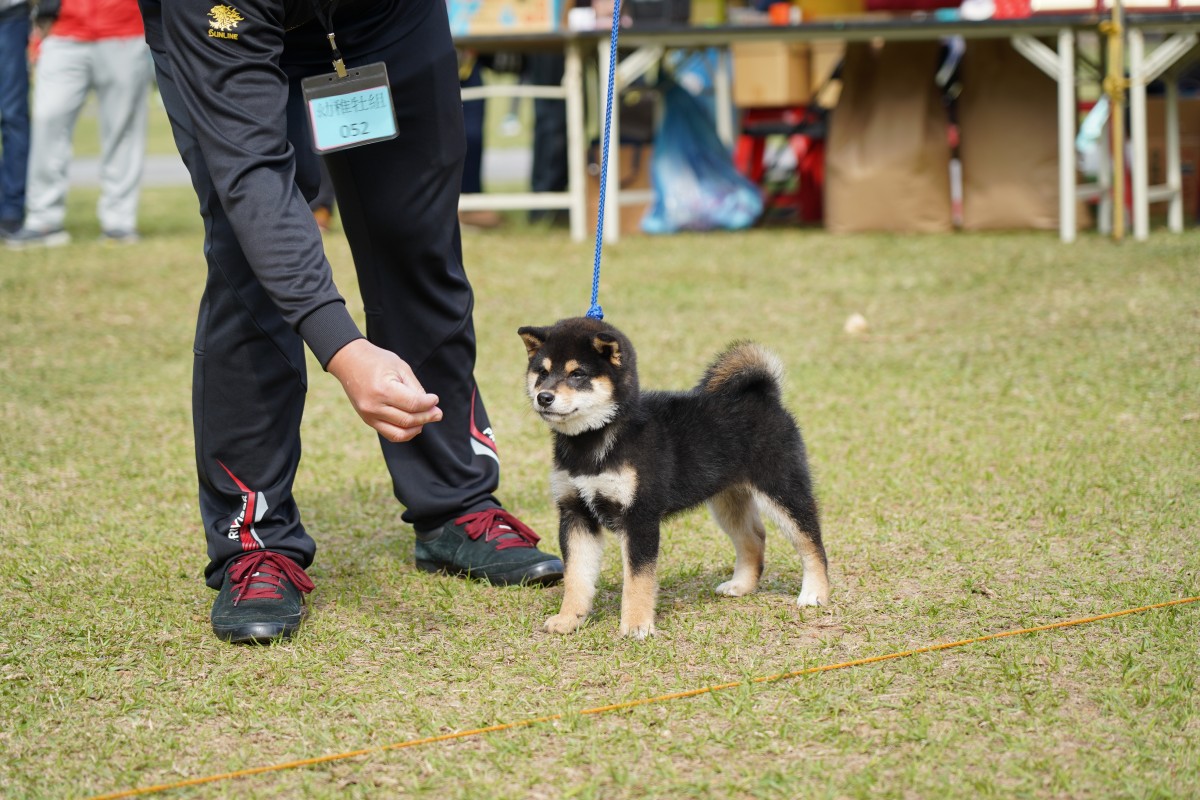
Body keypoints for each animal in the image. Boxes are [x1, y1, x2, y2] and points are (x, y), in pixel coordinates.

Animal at [516, 316, 825, 638]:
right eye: (542, 372)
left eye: (577, 374)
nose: (544, 397)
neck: (593, 442)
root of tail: (764, 396)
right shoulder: (575, 513)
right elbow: (576, 576)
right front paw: (569, 618)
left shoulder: (640, 516)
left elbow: (637, 580)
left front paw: (637, 625)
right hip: (727, 498)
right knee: (753, 537)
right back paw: (741, 585)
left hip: (782, 488)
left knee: (811, 541)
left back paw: (815, 594)